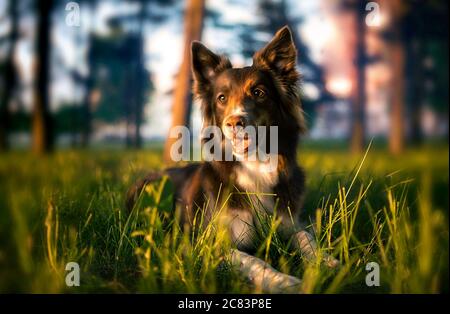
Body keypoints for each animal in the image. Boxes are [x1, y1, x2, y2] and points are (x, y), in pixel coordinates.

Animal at [126, 26, 338, 292]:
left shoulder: (288, 223)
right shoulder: (210, 245)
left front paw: (326, 261)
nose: (234, 122)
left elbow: (305, 237)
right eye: (222, 98)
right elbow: (254, 261)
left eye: (258, 92)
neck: (255, 166)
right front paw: (283, 281)